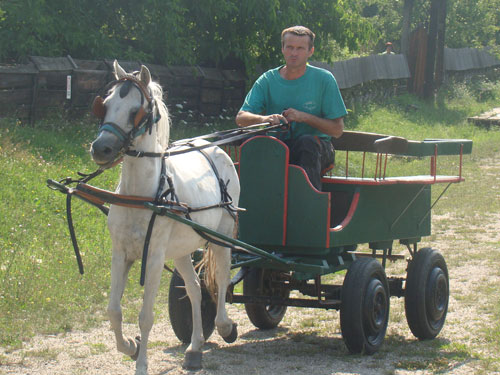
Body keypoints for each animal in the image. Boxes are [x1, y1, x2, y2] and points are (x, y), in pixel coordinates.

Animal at [89, 60, 238, 374]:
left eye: (136, 110)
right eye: (105, 105)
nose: (101, 148)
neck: (140, 196)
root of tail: (215, 147)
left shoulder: (155, 257)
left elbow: (145, 316)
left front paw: (141, 364)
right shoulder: (120, 253)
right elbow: (113, 311)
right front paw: (129, 346)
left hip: (223, 235)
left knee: (221, 277)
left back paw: (224, 325)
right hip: (182, 249)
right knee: (195, 289)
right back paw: (194, 347)